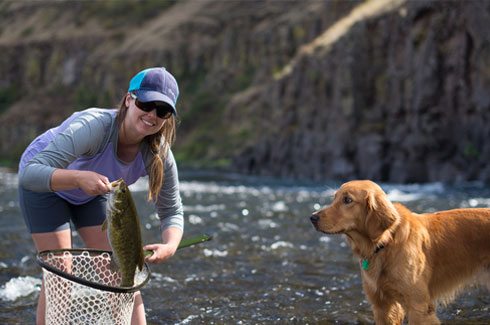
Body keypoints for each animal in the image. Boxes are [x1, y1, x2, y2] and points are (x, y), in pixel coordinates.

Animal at [310, 180, 490, 324]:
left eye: (347, 200)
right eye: (334, 198)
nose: (312, 217)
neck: (385, 243)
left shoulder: (418, 307)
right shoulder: (382, 306)